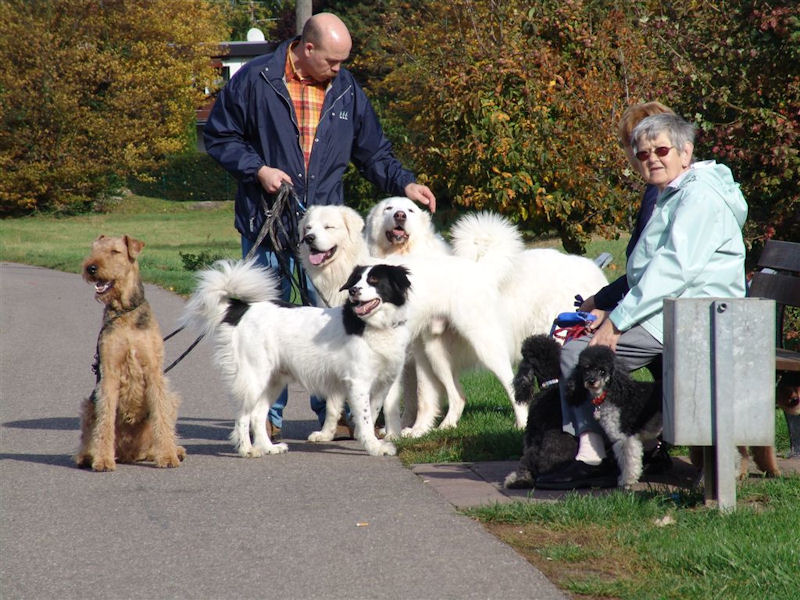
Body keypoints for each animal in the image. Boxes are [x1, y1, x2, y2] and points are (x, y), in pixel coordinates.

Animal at [181, 260, 412, 458]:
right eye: (356, 281)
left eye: (374, 280)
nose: (354, 291)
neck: (373, 326)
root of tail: (242, 309)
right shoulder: (358, 382)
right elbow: (364, 418)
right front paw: (374, 446)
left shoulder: (381, 384)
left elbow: (370, 412)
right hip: (254, 378)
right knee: (243, 416)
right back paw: (247, 449)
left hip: (273, 381)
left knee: (257, 415)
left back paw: (268, 447)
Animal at [568, 344, 664, 490]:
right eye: (586, 368)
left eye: (602, 371)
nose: (591, 381)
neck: (613, 394)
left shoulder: (624, 437)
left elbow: (628, 461)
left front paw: (626, 481)